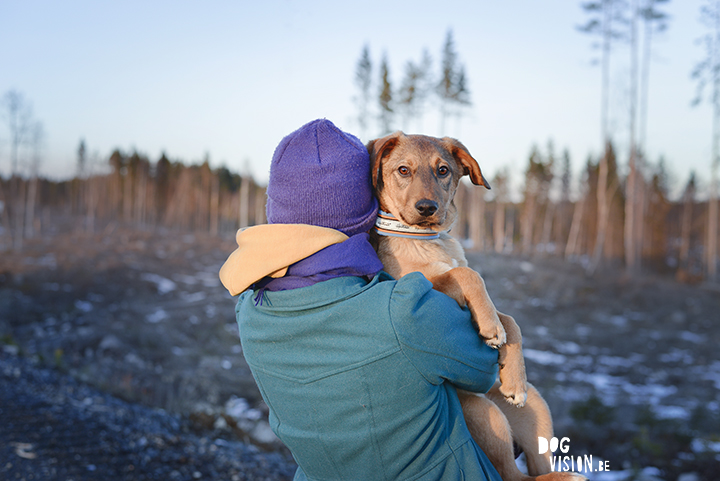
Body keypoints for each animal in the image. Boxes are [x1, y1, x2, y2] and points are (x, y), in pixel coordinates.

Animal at [368, 133, 588, 480]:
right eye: (403, 170)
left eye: (443, 170)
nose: (427, 208)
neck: (430, 240)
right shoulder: (415, 285)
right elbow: (468, 274)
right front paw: (490, 325)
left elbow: (509, 320)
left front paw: (511, 372)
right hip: (484, 412)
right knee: (511, 476)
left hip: (535, 408)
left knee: (533, 465)